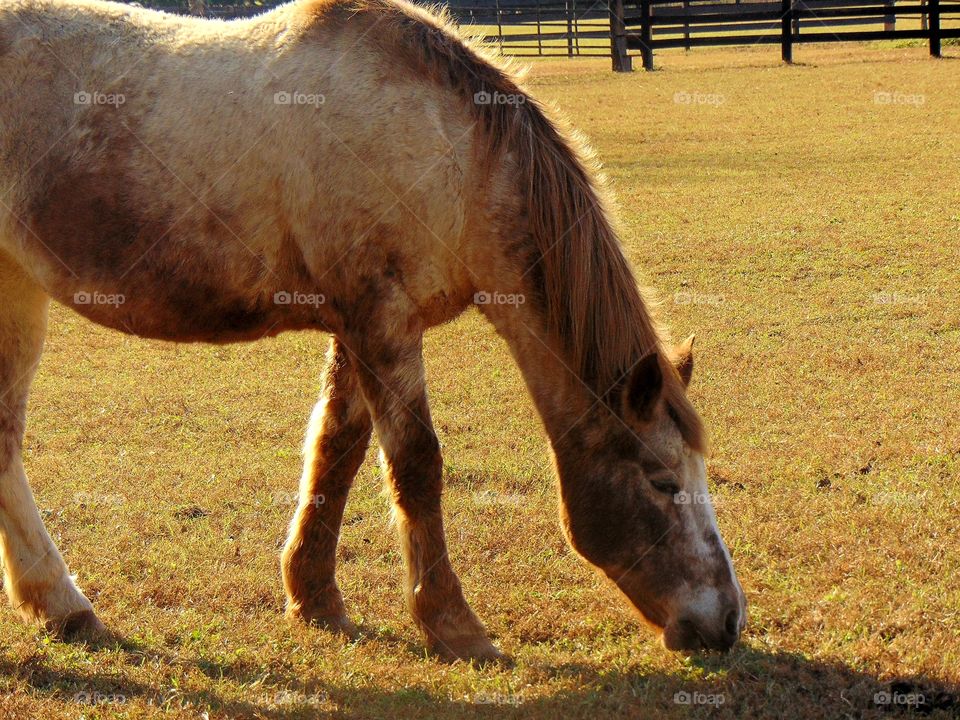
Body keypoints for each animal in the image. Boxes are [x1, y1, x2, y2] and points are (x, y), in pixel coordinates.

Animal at [0, 0, 748, 664]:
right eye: (662, 481)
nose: (726, 622)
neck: (449, 155)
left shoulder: (360, 327)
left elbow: (338, 448)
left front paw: (314, 597)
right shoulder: (380, 322)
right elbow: (415, 465)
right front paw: (453, 625)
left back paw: (61, 610)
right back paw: (66, 603)